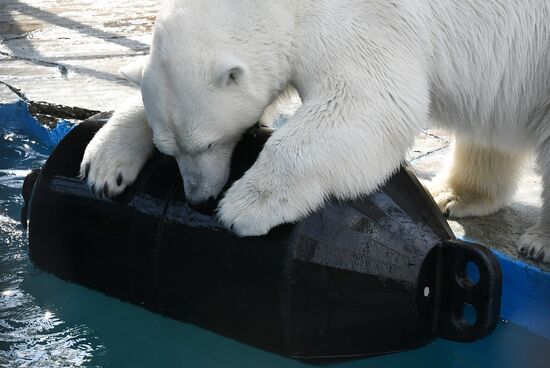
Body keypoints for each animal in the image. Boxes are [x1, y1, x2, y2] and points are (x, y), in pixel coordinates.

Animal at [81, 0, 550, 264]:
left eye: (207, 143)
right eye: (170, 148)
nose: (198, 198)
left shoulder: (360, 22)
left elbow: (367, 100)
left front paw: (244, 208)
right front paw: (105, 165)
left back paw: (538, 242)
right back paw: (455, 194)